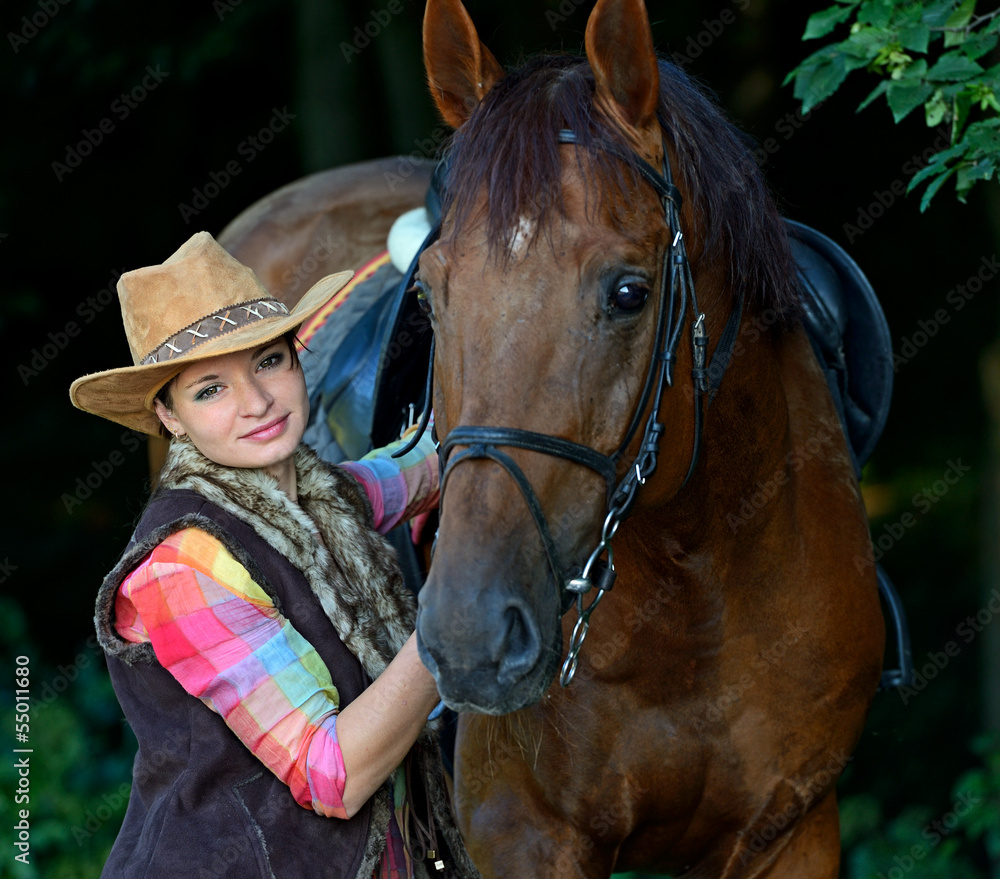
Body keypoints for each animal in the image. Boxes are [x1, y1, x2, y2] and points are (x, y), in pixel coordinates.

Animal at [215, 0, 886, 875]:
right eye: (428, 297)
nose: (469, 638)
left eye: (630, 292)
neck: (698, 585)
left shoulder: (791, 831)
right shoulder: (524, 836)